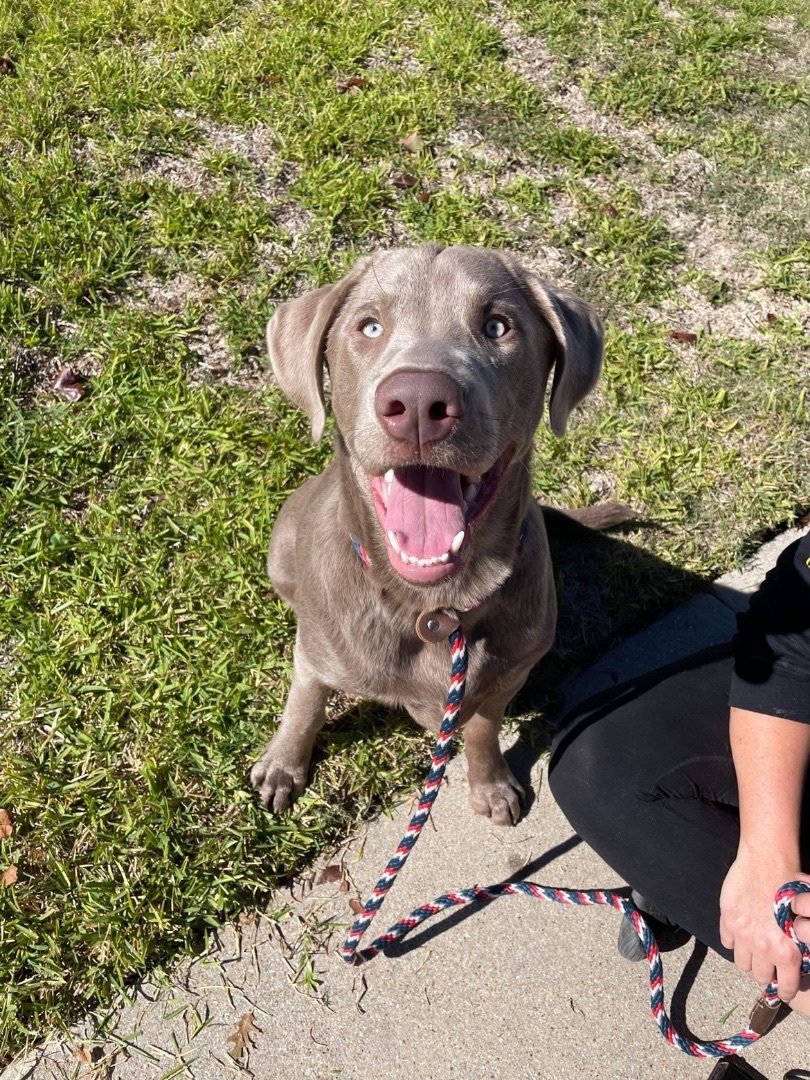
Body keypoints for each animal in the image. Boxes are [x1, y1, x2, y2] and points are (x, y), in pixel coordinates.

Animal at [250, 245, 604, 825]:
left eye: (497, 325)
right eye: (369, 326)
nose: (418, 402)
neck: (434, 608)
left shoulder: (509, 674)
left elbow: (482, 730)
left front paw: (491, 785)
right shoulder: (317, 658)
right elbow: (303, 706)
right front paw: (283, 766)